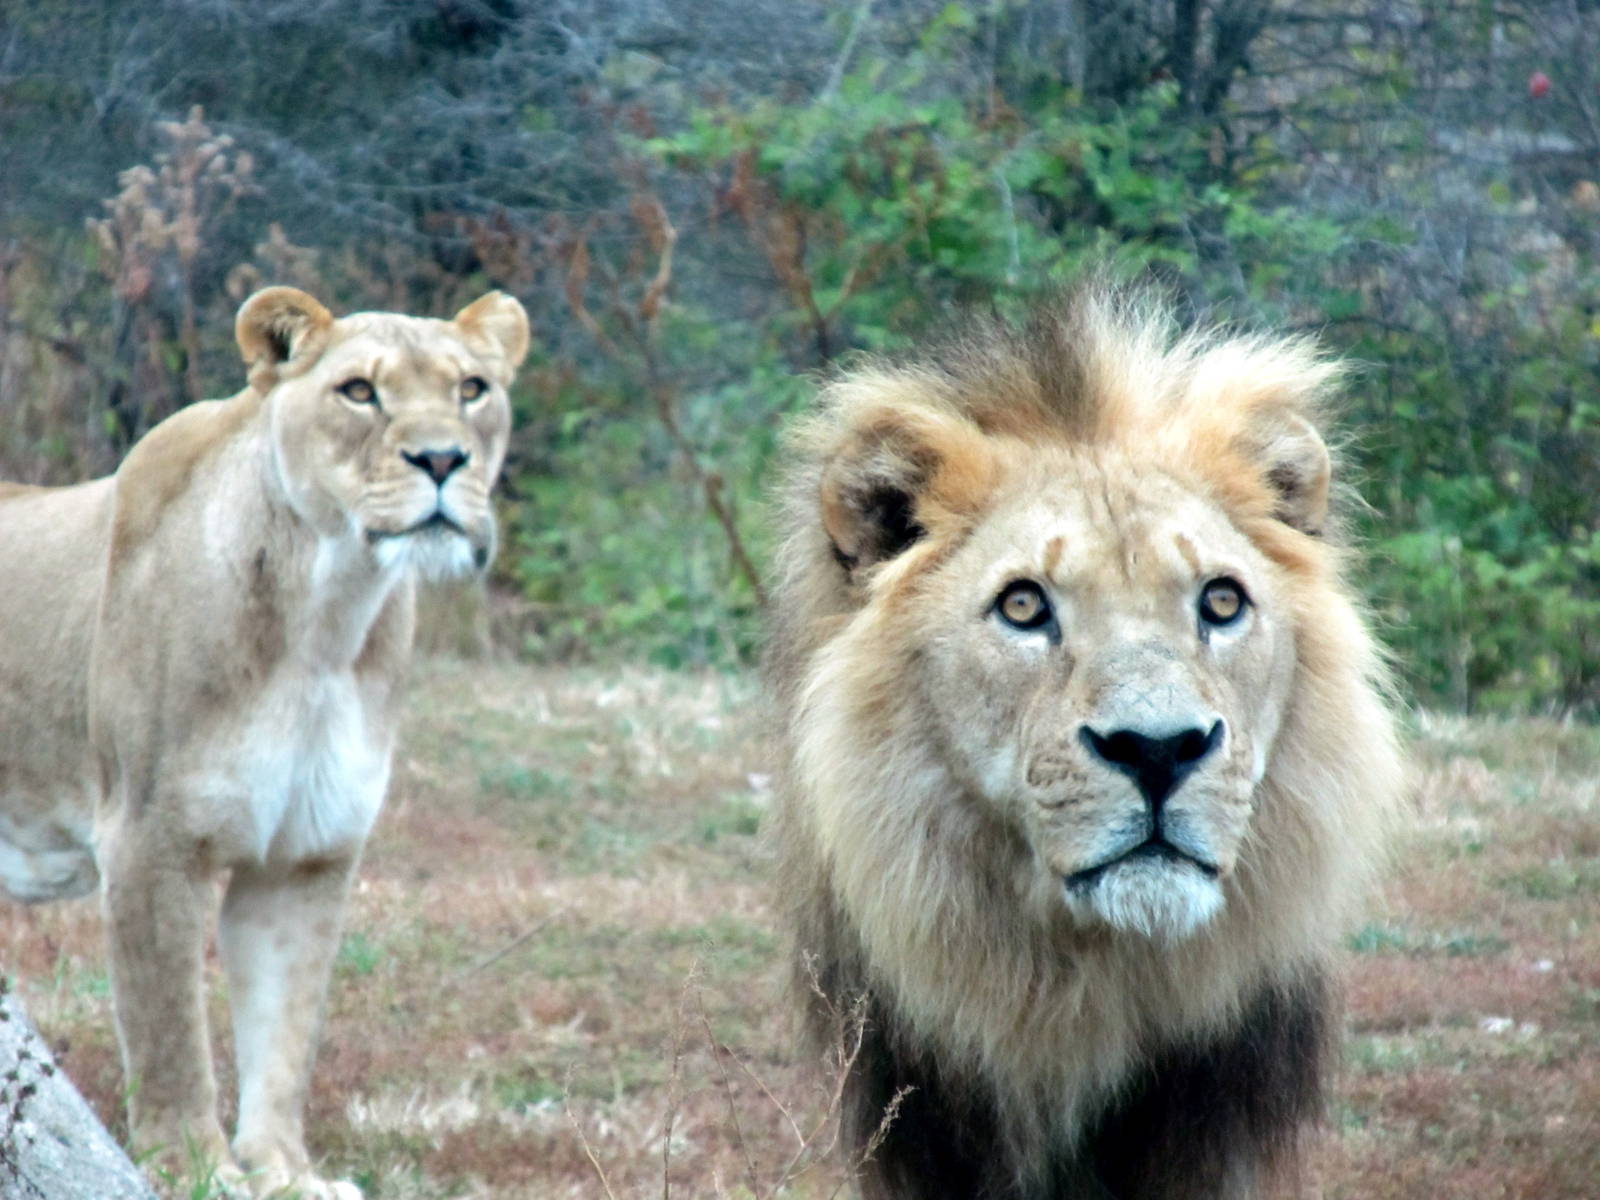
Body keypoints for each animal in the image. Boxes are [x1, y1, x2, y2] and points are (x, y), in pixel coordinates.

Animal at [0, 287, 526, 1198]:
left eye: (472, 389)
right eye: (359, 391)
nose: (442, 460)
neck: (328, 616)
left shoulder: (307, 855)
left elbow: (284, 1029)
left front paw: (284, 1171)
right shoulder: (149, 841)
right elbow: (170, 1032)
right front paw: (196, 1170)